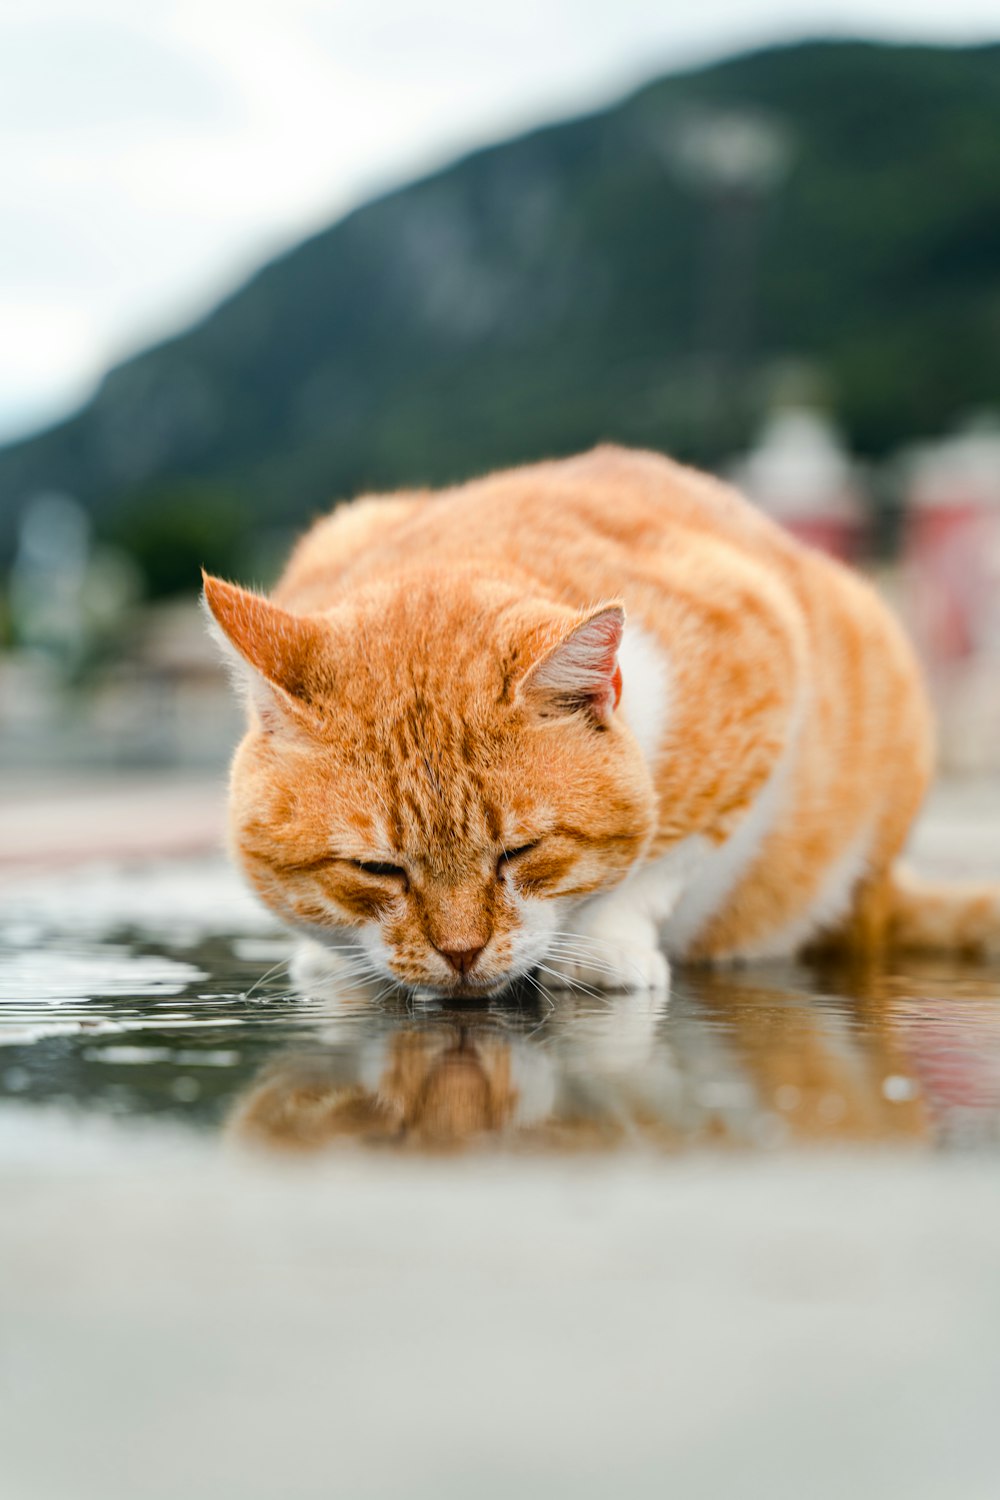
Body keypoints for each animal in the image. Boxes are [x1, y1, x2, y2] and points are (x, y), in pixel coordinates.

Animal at [203, 438, 1000, 996]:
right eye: (377, 868)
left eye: (521, 852)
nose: (460, 955)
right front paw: (331, 960)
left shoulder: (761, 649)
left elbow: (664, 852)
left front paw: (602, 947)